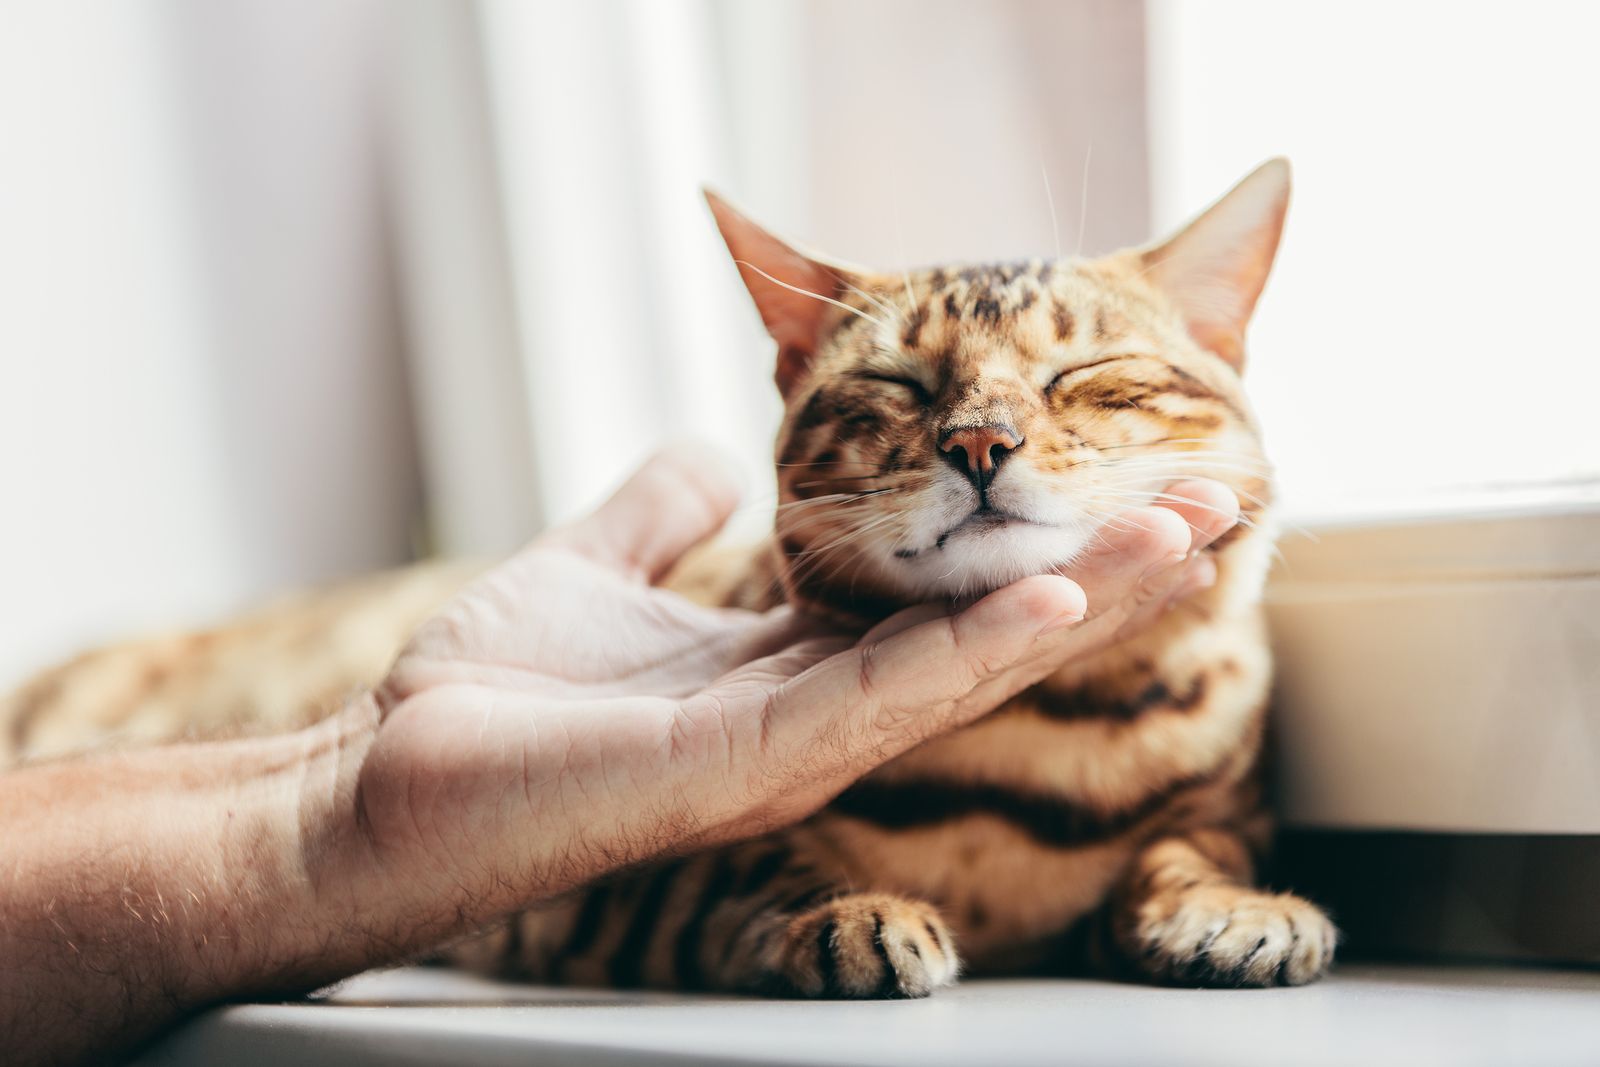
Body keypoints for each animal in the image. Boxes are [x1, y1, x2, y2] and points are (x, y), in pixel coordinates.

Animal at [3, 160, 1337, 1004]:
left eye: (1082, 378)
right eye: (898, 385)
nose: (979, 443)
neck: (1020, 748)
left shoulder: (1224, 788)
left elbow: (1190, 840)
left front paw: (1228, 902)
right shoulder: (599, 890)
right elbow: (736, 869)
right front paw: (840, 912)